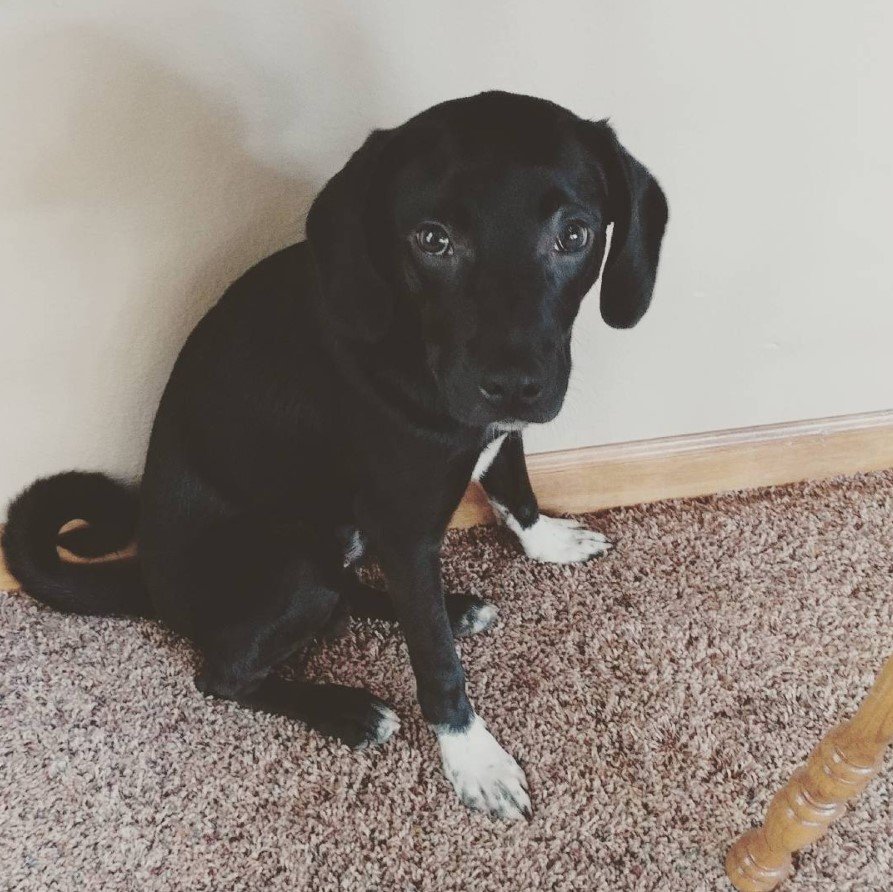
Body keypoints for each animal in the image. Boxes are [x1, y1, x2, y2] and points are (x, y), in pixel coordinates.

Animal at [3, 92, 664, 824]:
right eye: (432, 240)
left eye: (574, 235)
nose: (514, 383)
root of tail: (146, 579)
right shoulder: (403, 529)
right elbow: (436, 661)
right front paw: (473, 759)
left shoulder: (491, 440)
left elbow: (512, 485)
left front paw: (547, 541)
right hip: (295, 566)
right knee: (224, 672)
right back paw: (349, 710)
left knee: (351, 596)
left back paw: (454, 608)